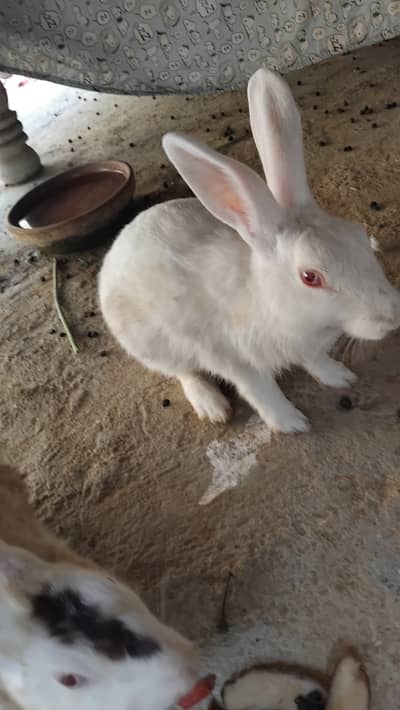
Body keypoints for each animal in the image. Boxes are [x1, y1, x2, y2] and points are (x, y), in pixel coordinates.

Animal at [99, 67, 400, 433]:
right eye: (310, 277)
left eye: (360, 237)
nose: (392, 316)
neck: (269, 300)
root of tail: (117, 248)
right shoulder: (233, 359)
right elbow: (260, 390)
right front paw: (291, 423)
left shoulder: (308, 347)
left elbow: (316, 361)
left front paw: (340, 377)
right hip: (154, 344)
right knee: (185, 372)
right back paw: (212, 406)